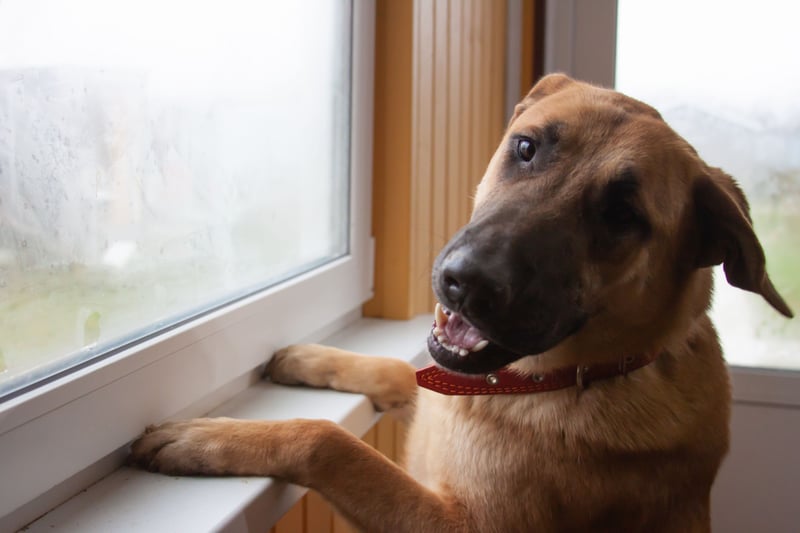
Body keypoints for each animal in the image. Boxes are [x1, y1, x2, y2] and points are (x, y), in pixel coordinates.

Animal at [129, 74, 793, 532]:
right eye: (525, 149)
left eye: (623, 215)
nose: (466, 283)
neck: (575, 377)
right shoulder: (437, 390)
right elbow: (395, 370)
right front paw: (311, 359)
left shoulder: (457, 522)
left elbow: (329, 442)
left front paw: (201, 438)